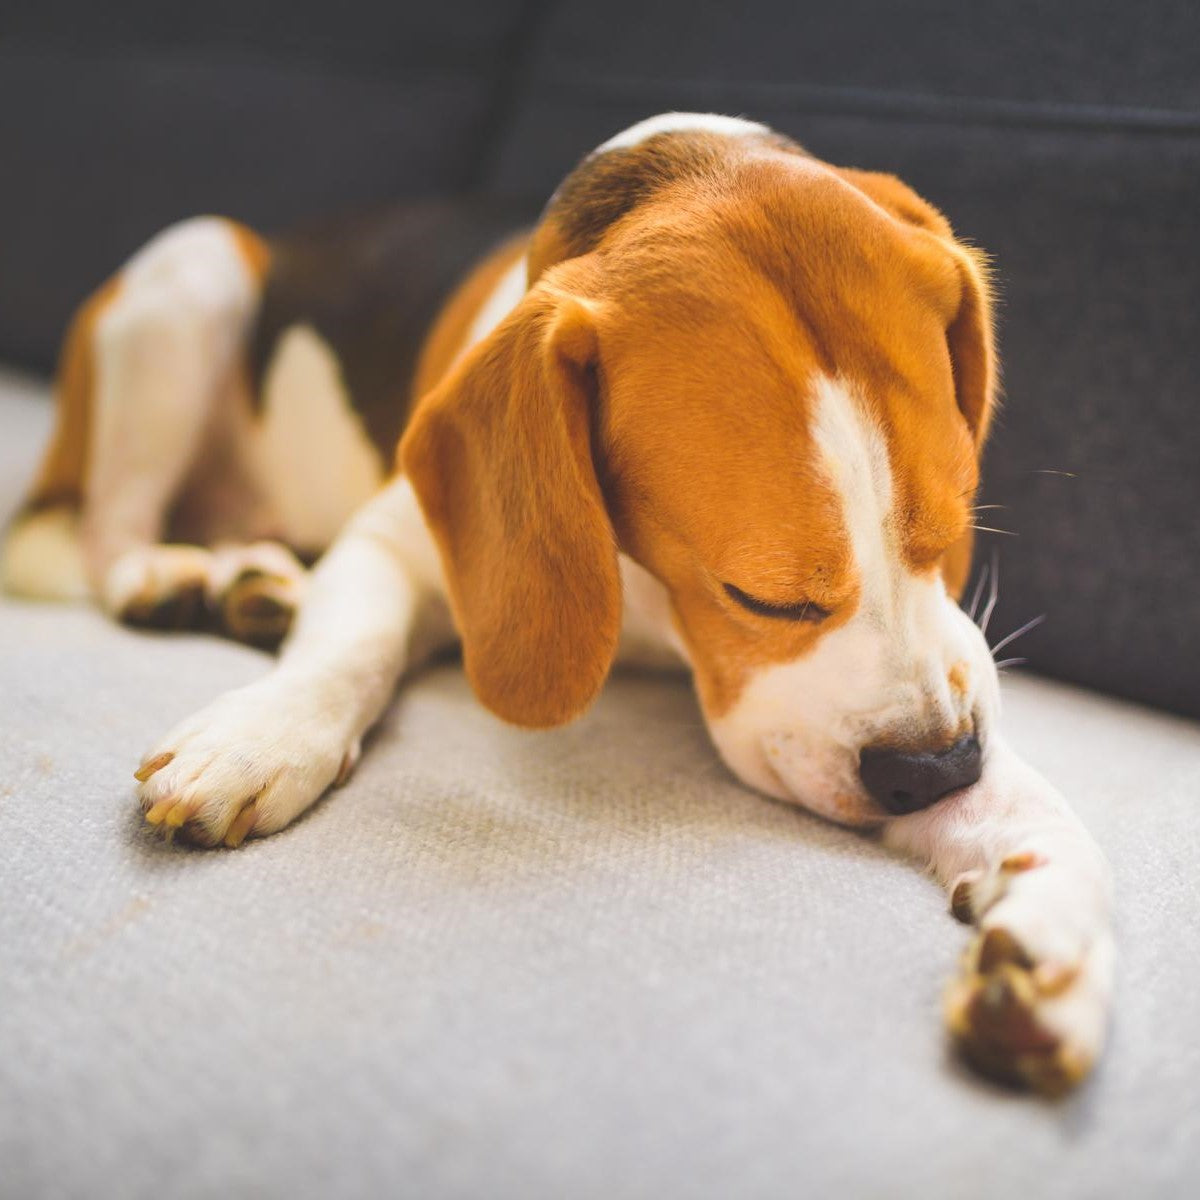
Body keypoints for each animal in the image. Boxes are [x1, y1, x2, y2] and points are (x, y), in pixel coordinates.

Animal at [0, 114, 1108, 1099]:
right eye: (761, 595)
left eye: (955, 531)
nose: (938, 771)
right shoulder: (391, 542)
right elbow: (350, 647)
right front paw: (265, 733)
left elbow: (1031, 805)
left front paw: (1053, 931)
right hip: (190, 275)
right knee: (100, 533)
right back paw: (176, 578)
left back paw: (248, 583)